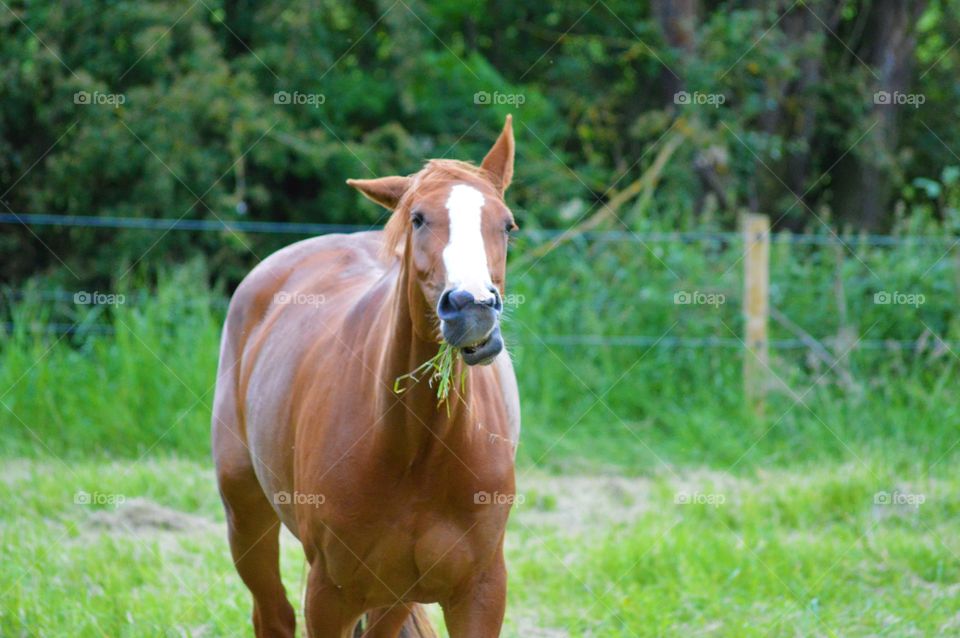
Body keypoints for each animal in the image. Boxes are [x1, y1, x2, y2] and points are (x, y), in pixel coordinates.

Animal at [212, 116, 521, 637]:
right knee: (272, 614)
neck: (419, 449)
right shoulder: (329, 595)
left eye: (507, 226)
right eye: (418, 219)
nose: (472, 308)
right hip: (246, 515)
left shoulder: (480, 592)